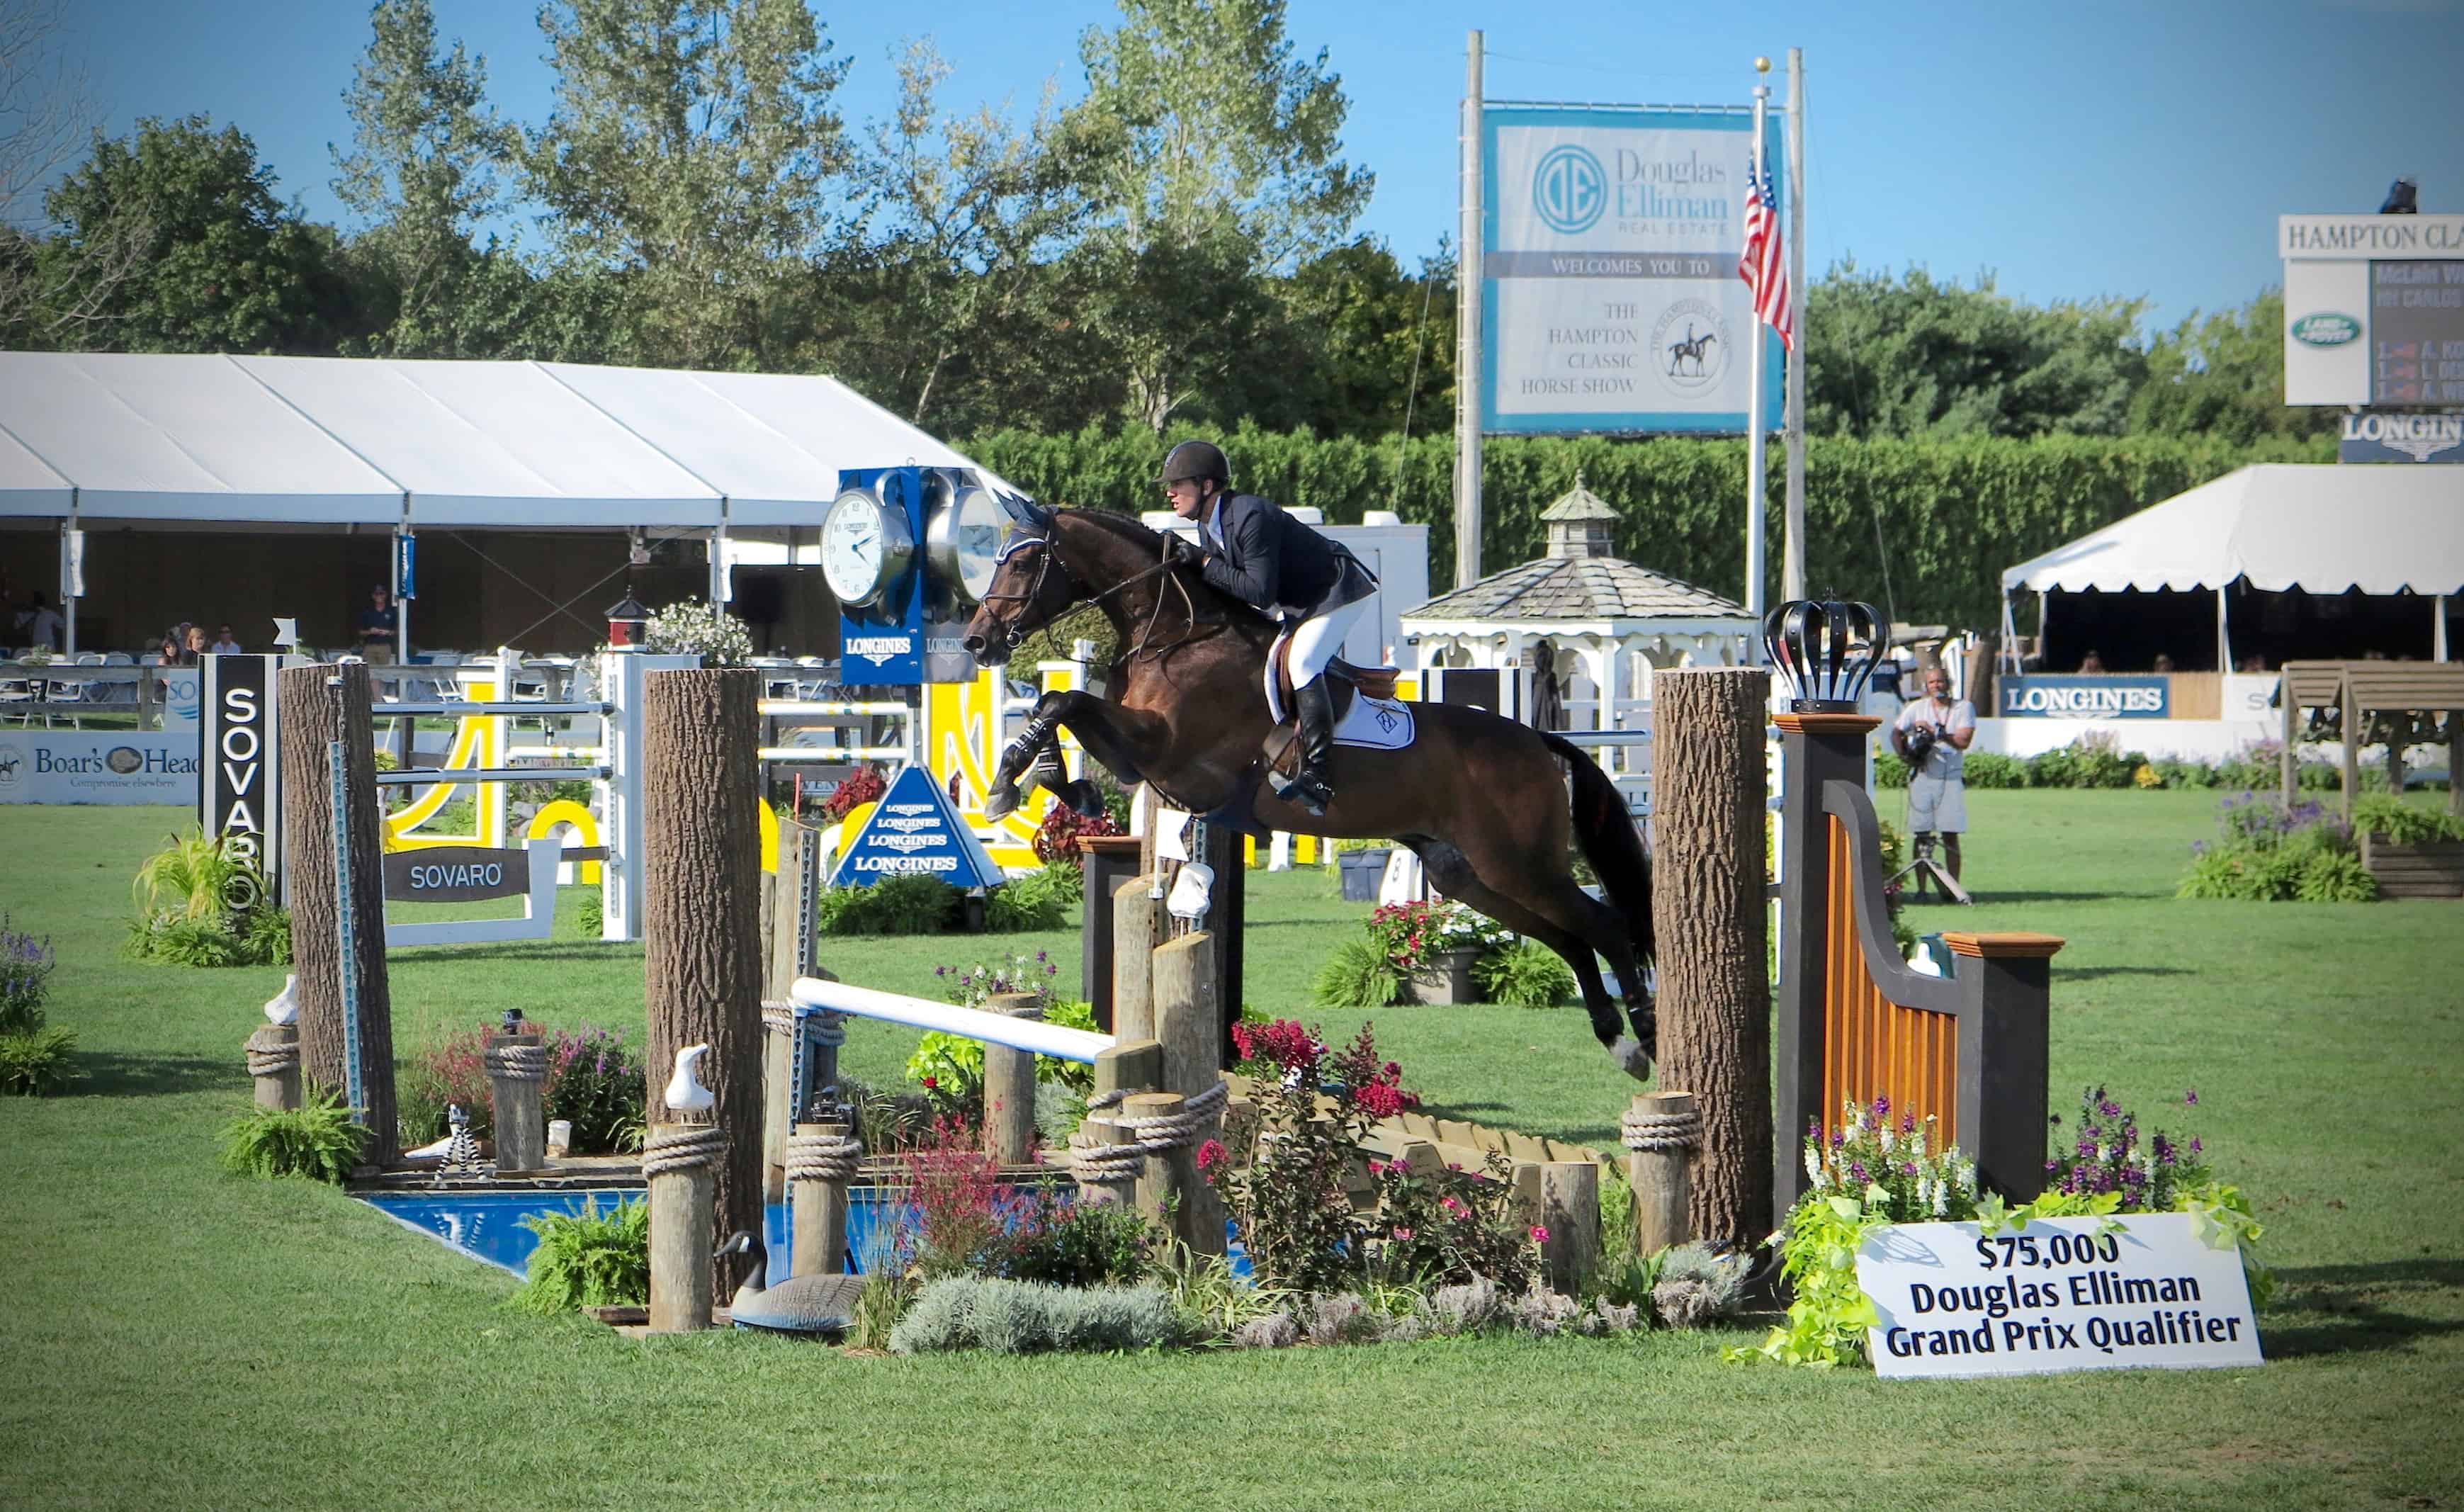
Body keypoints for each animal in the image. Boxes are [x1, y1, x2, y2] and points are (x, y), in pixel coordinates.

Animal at [961, 507, 1656, 1078]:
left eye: (1021, 560)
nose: (976, 640)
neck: (1174, 635)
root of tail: (1539, 742)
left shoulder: (1168, 752)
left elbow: (1063, 699)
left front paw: (1016, 785)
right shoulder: (1144, 761)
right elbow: (1060, 704)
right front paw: (1042, 783)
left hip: (1518, 862)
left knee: (1604, 925)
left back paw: (1645, 1033)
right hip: (1468, 874)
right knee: (1571, 938)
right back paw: (1617, 1039)